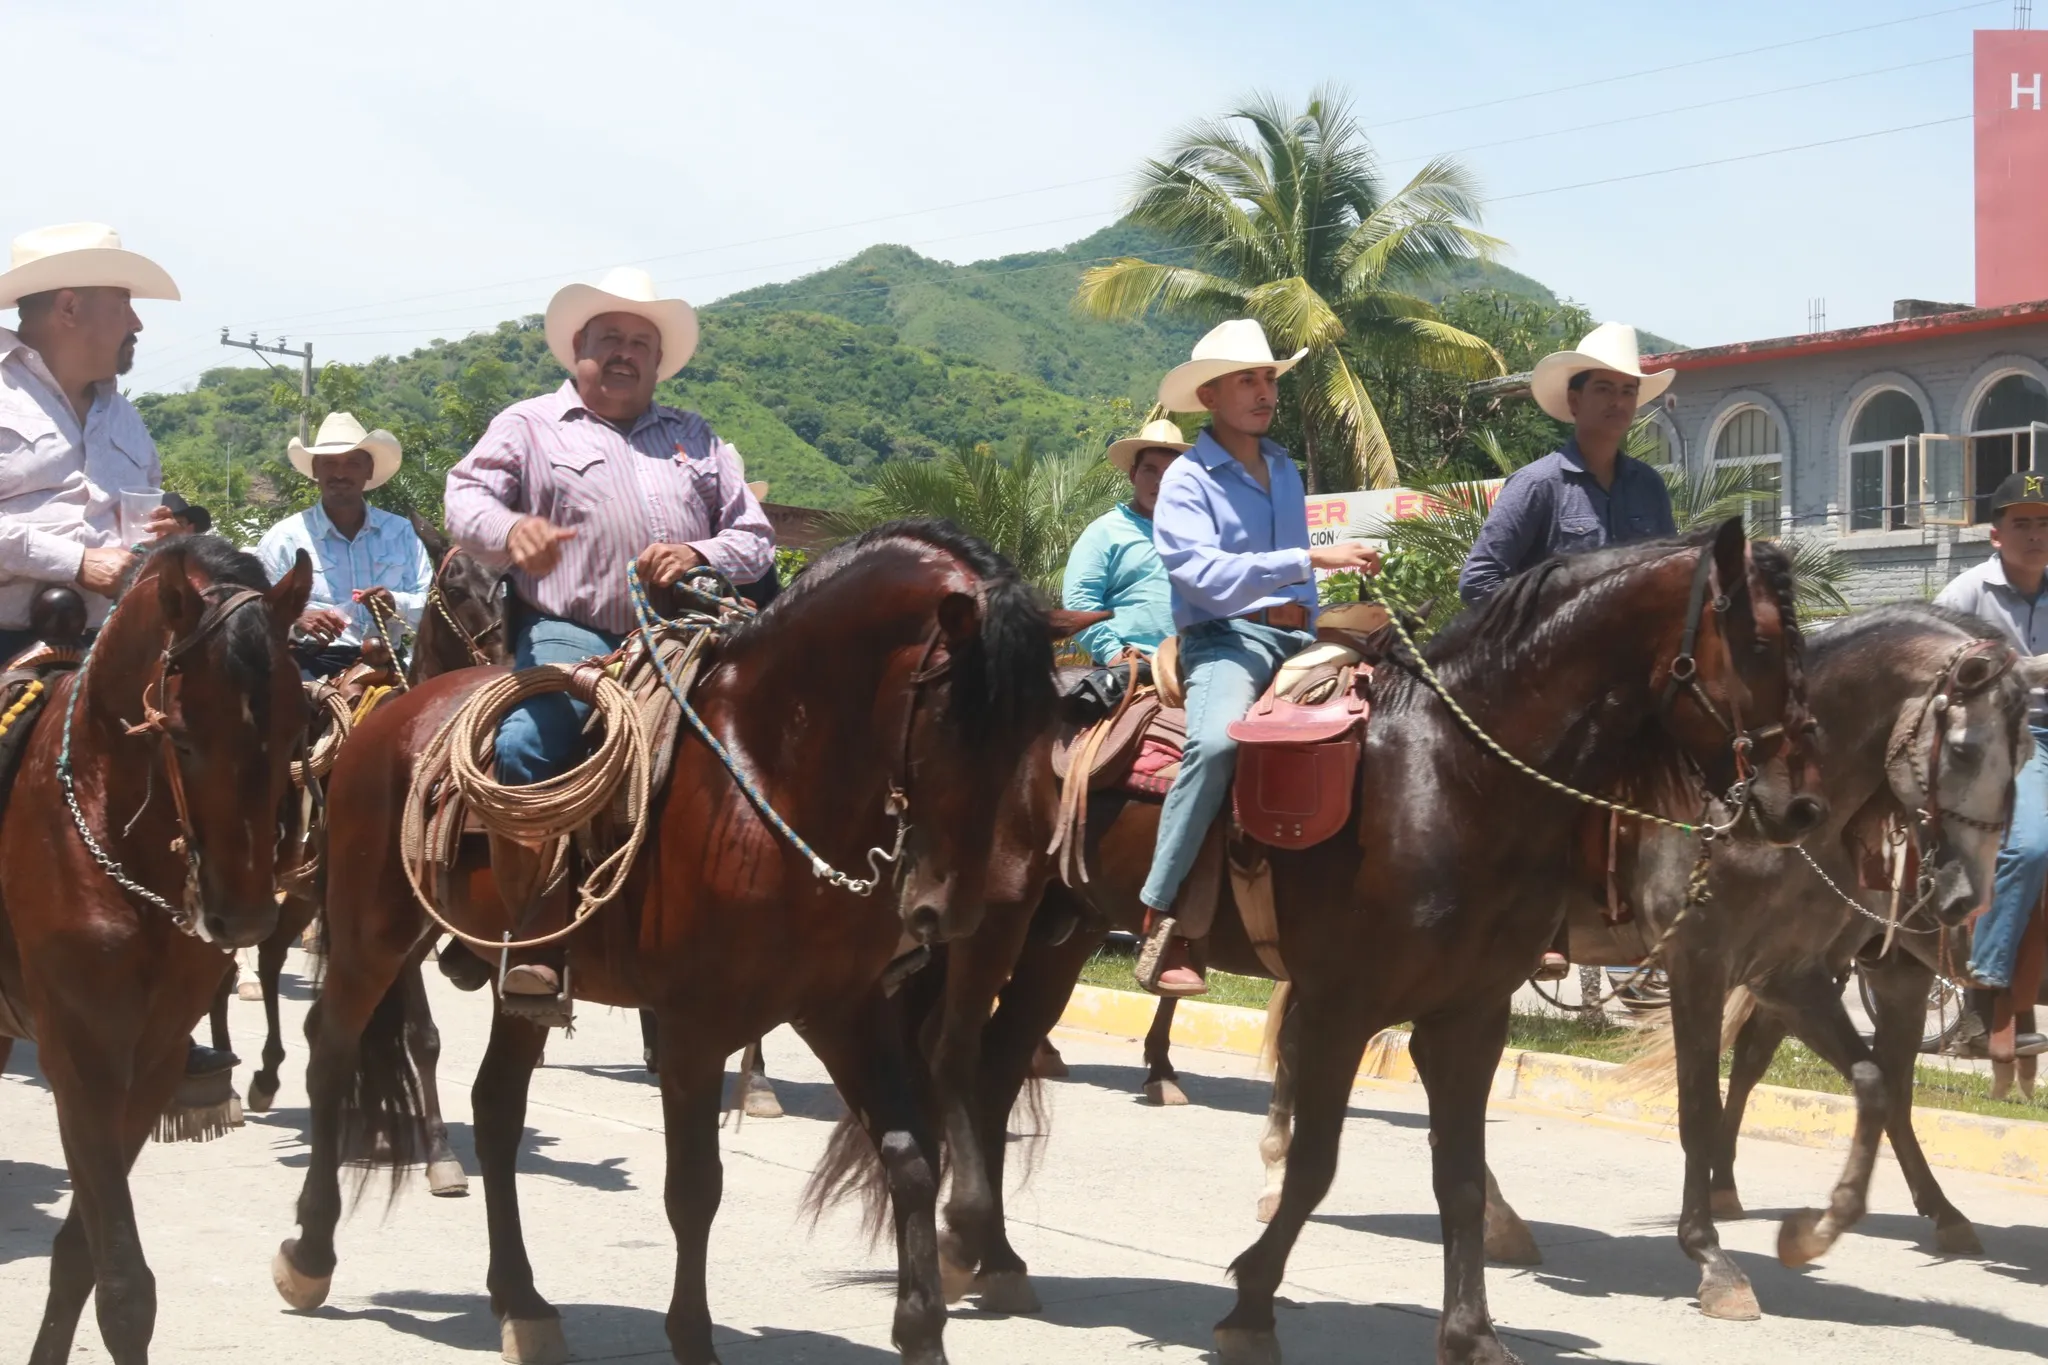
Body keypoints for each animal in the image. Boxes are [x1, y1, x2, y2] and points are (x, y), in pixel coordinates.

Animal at [2, 540, 313, 1365]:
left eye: (297, 722)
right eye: (179, 733)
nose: (243, 915)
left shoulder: (153, 1059)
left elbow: (81, 1255)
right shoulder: (81, 1057)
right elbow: (123, 1284)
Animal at [274, 523, 1081, 1365]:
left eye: (1036, 730)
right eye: (954, 716)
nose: (951, 908)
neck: (769, 775)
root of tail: (389, 718)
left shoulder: (844, 1011)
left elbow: (911, 1157)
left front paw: (923, 1328)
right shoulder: (695, 1027)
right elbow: (694, 1188)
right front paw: (693, 1336)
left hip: (519, 981)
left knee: (495, 1107)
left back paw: (521, 1301)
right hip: (372, 936)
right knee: (330, 1054)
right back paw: (310, 1253)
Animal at [815, 523, 1826, 1365]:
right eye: (1761, 643)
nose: (1801, 805)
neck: (1451, 778)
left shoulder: (1471, 1014)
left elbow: (1459, 1175)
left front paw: (1472, 1333)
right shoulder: (1341, 1004)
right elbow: (1313, 1164)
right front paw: (1251, 1304)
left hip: (1063, 936)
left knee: (995, 1067)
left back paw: (996, 1254)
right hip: (988, 922)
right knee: (952, 1055)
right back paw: (963, 1240)